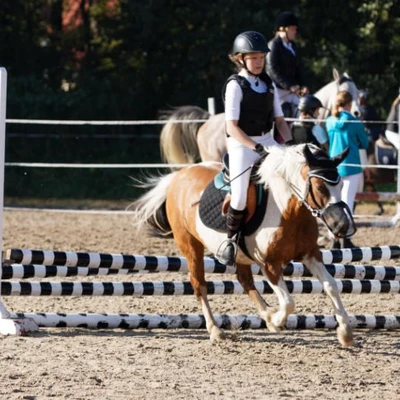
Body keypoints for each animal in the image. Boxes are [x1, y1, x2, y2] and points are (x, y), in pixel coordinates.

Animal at [133, 145, 354, 346]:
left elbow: (331, 286)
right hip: (190, 245)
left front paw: (345, 332)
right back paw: (216, 329)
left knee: (245, 280)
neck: (289, 211)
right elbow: (289, 302)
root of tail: (179, 175)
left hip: (238, 254)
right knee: (199, 284)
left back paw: (266, 314)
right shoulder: (270, 264)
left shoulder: (311, 254)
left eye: (341, 185)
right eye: (320, 187)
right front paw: (278, 320)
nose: (342, 225)